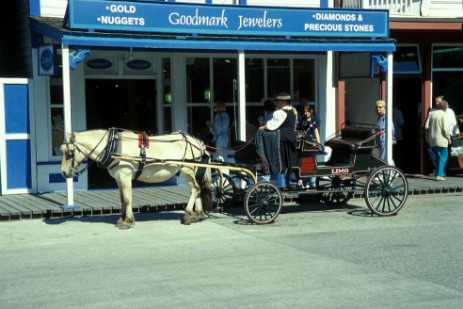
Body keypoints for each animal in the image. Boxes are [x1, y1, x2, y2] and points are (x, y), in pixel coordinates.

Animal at [60, 126, 213, 227]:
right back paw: (196, 214)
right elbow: (122, 199)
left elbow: (127, 199)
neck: (114, 145)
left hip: (188, 171)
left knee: (195, 189)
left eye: (70, 152)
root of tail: (198, 143)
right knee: (198, 190)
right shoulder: (119, 178)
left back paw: (187, 215)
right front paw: (123, 219)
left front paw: (127, 221)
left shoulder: (125, 175)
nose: (63, 172)